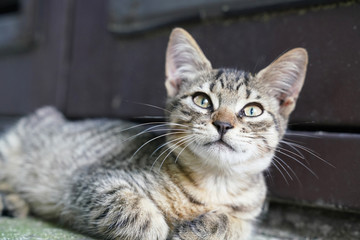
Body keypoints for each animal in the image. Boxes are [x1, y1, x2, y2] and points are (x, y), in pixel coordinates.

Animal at [0, 28, 306, 240]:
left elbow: (235, 224)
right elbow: (127, 205)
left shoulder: (249, 216)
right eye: (202, 100)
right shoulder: (92, 180)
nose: (223, 124)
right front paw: (153, 227)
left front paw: (203, 228)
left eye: (252, 110)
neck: (214, 184)